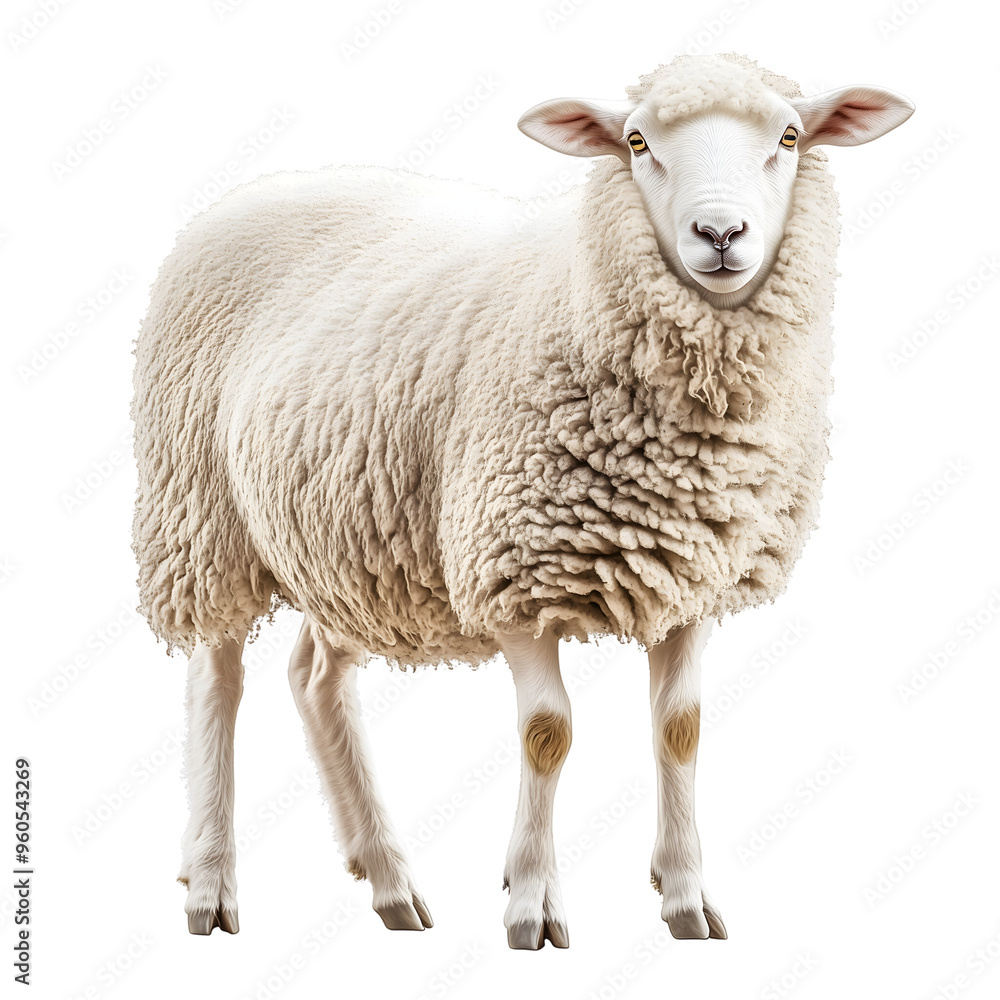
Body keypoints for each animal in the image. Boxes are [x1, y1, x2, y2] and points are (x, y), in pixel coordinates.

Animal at [131, 52, 914, 947]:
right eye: (636, 141)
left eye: (789, 135)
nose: (720, 235)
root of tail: (245, 195)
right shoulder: (512, 570)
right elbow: (549, 734)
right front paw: (533, 902)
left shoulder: (695, 578)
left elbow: (681, 730)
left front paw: (686, 898)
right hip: (198, 516)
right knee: (217, 681)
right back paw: (211, 883)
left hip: (341, 538)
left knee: (315, 678)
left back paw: (388, 880)